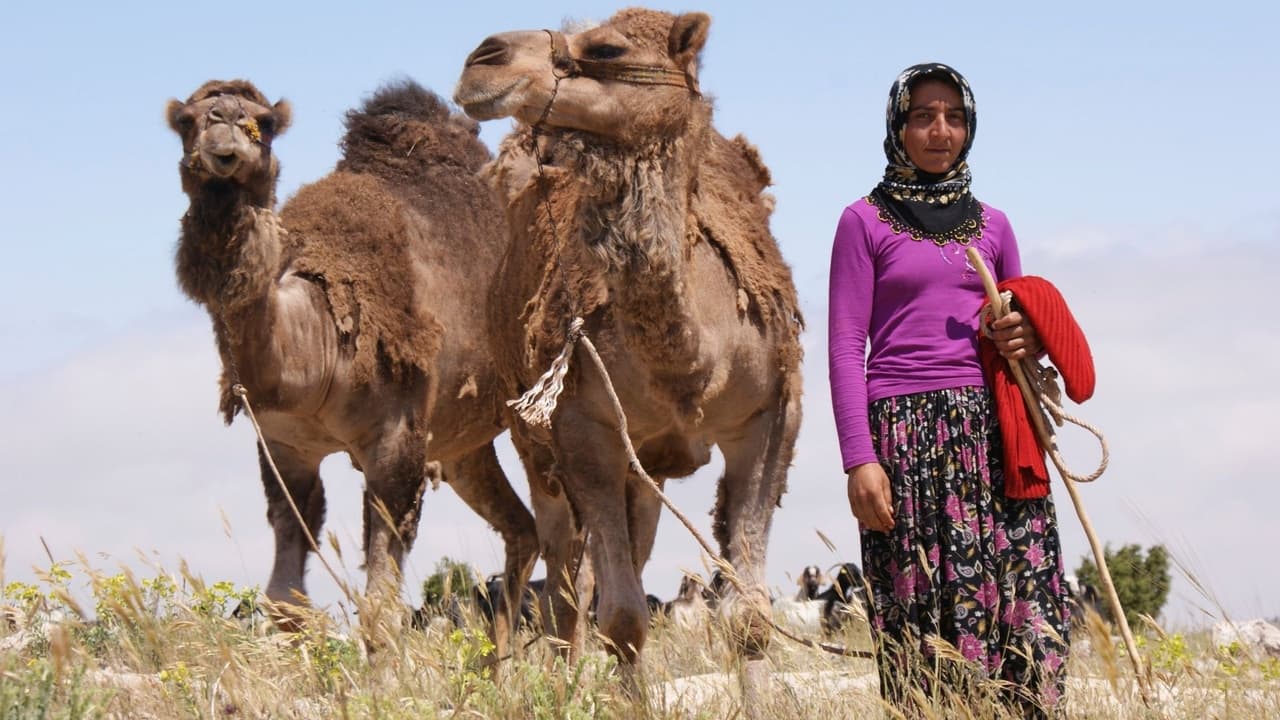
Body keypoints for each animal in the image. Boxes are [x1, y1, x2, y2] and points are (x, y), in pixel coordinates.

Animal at [163, 81, 535, 648]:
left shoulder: (397, 437)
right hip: (467, 445)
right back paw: (506, 653)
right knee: (526, 529)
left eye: (264, 122)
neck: (318, 341)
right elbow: (284, 598)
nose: (223, 123)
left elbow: (381, 604)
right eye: (187, 120)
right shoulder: (286, 446)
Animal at [455, 5, 803, 686]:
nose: (483, 58)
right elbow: (619, 617)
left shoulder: (771, 414)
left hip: (647, 467)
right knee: (565, 580)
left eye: (608, 48)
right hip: (535, 443)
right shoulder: (580, 424)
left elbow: (748, 618)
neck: (694, 364)